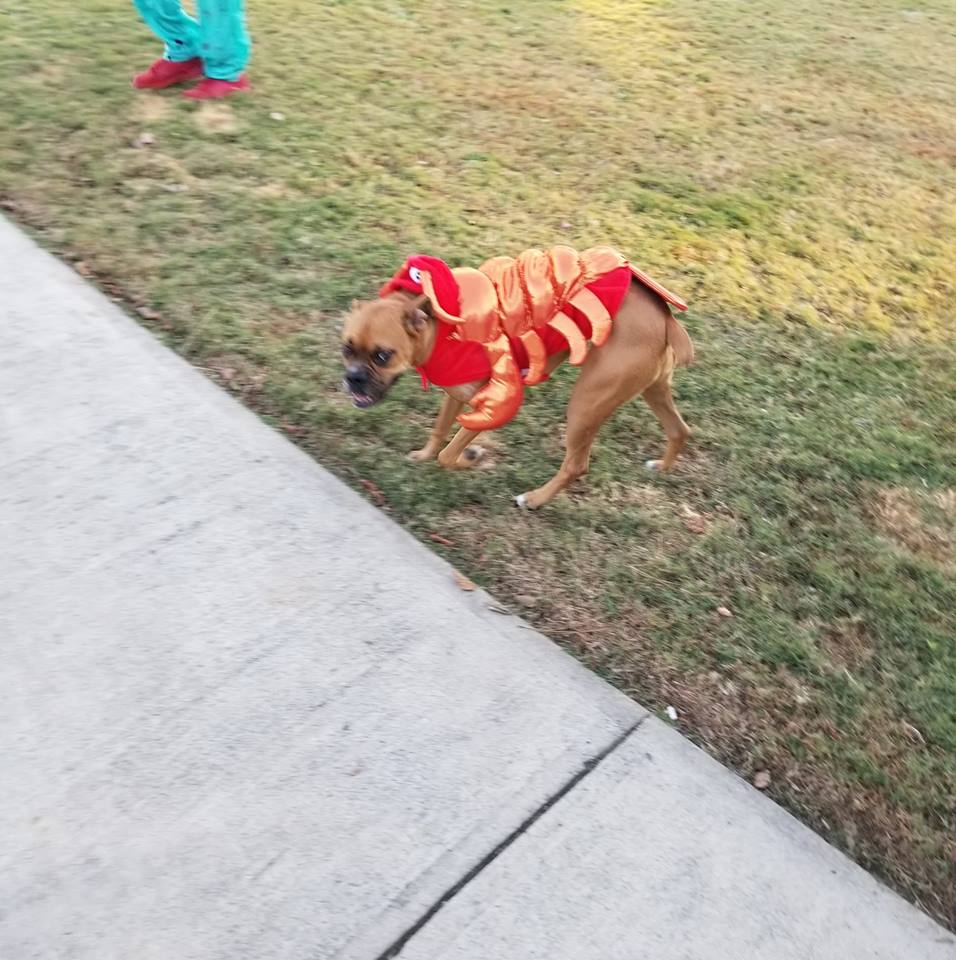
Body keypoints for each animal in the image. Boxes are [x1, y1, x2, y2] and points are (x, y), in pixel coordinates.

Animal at [344, 248, 696, 510]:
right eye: (346, 349)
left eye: (382, 355)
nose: (353, 379)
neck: (439, 325)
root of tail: (666, 319)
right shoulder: (456, 395)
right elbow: (440, 431)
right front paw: (425, 455)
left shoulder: (493, 407)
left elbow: (449, 454)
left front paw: (471, 457)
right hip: (652, 388)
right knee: (679, 430)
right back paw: (662, 468)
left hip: (586, 403)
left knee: (576, 464)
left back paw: (535, 499)